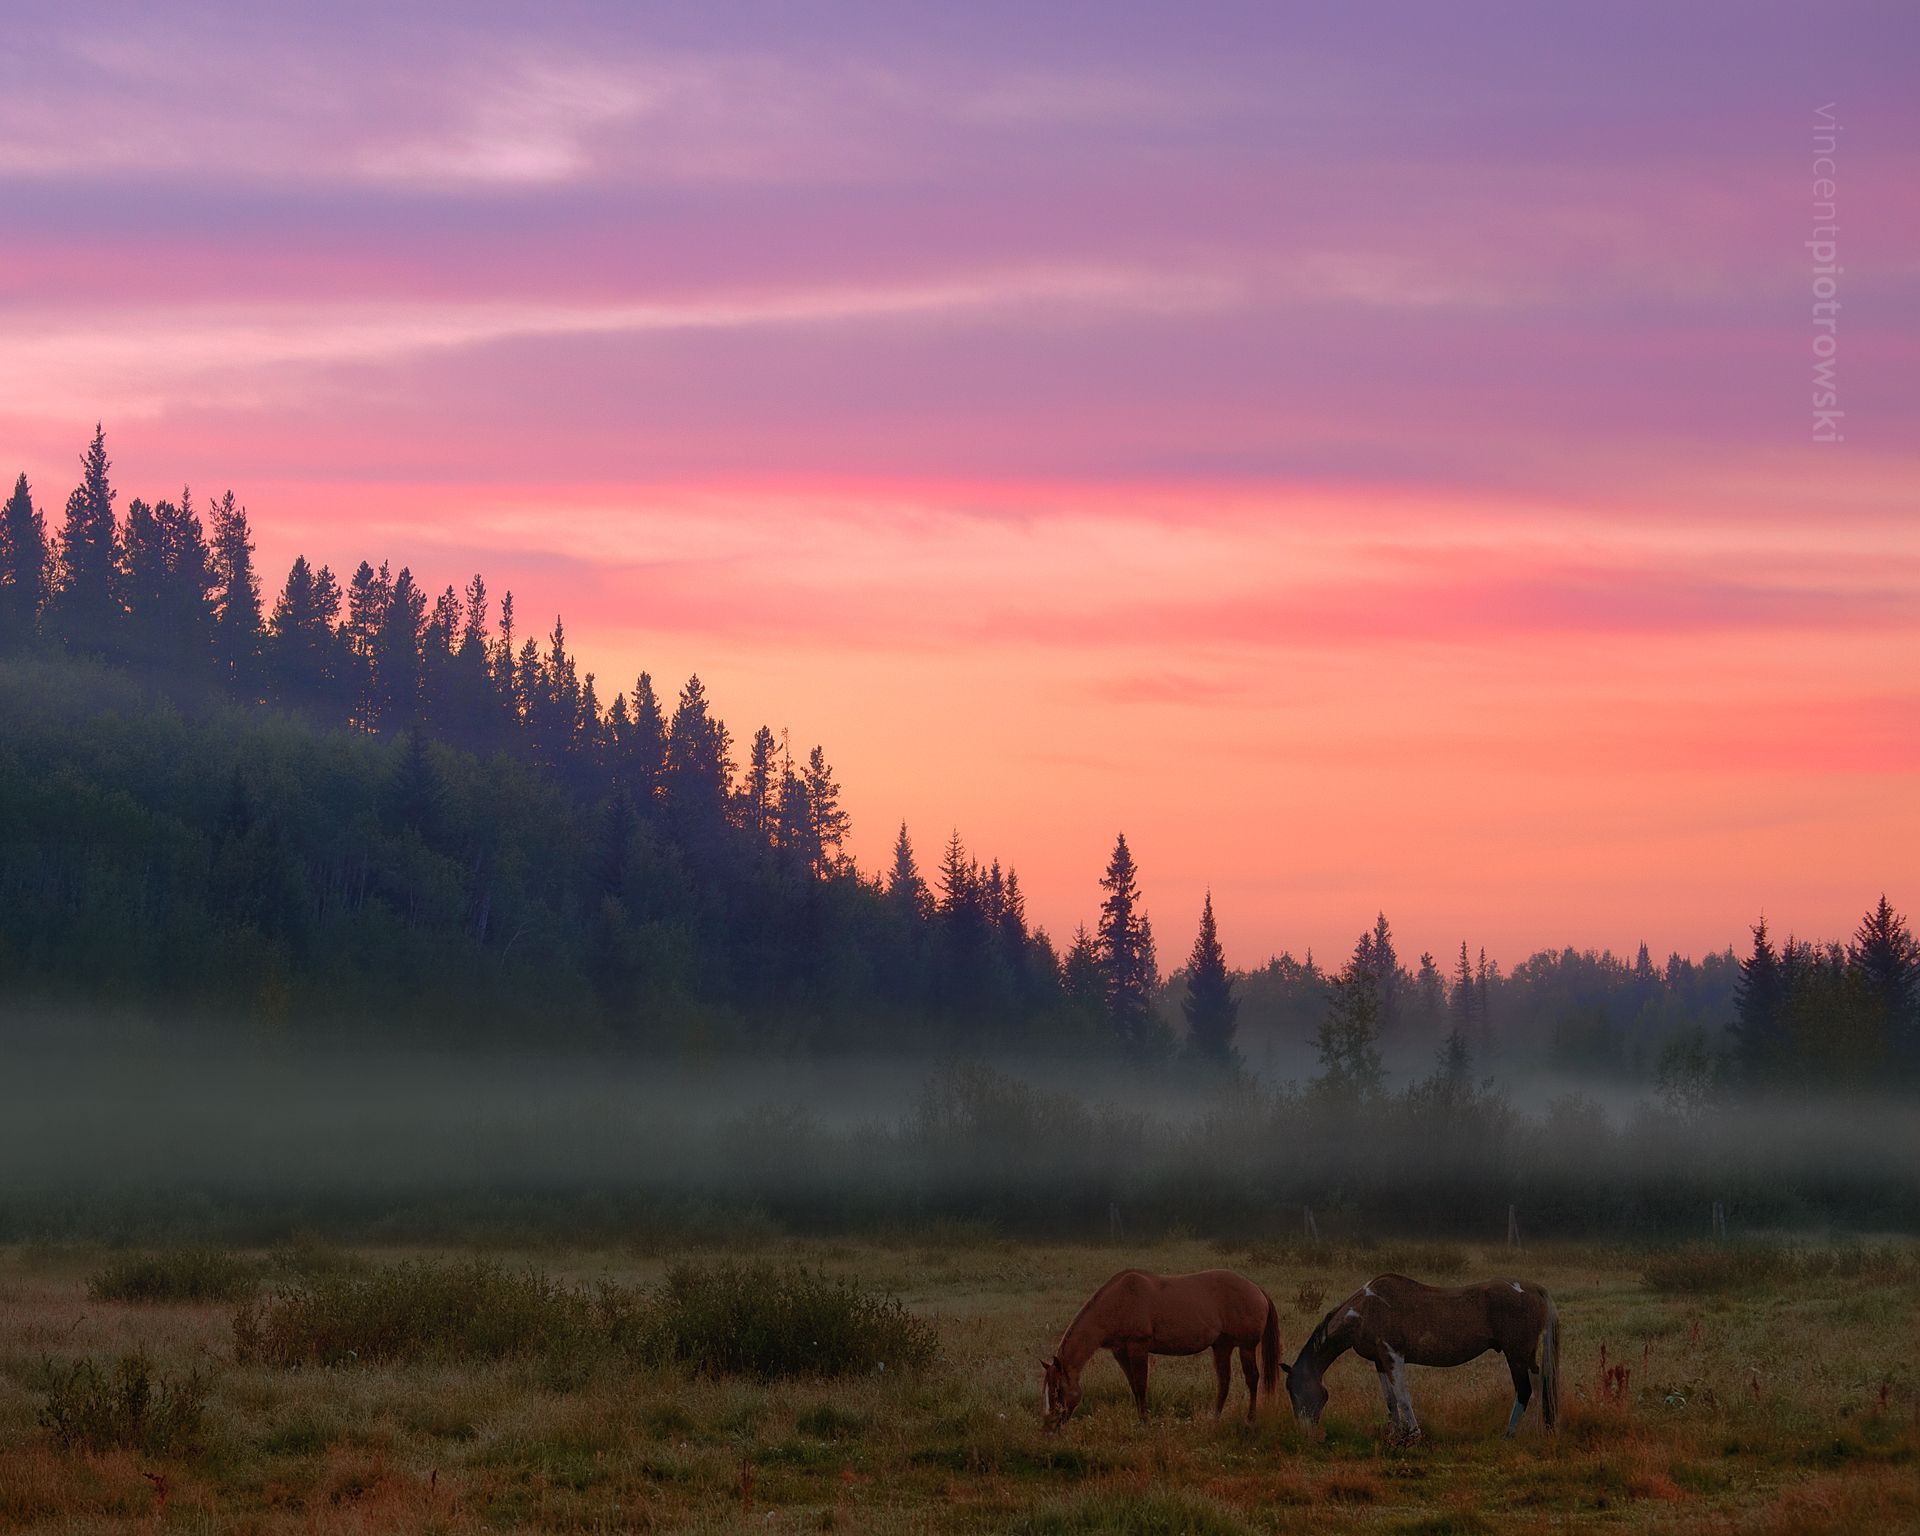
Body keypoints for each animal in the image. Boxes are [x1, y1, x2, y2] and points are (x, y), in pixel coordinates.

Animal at [1041, 1269, 1281, 1430]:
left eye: (1058, 1390)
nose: (1051, 1425)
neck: (1117, 1302)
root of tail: (1257, 1290)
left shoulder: (1138, 1348)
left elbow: (1141, 1385)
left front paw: (1144, 1422)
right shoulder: (1120, 1352)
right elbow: (1133, 1386)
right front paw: (1141, 1419)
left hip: (1246, 1347)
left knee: (1252, 1378)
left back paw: (1250, 1418)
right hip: (1222, 1347)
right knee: (1224, 1381)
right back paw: (1215, 1418)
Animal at [1282, 1273, 1559, 1444]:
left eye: (1295, 1391)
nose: (1305, 1433)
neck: (1364, 1310)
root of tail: (1533, 1288)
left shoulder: (1393, 1355)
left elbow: (1403, 1397)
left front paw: (1414, 1434)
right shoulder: (1379, 1361)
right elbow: (1391, 1400)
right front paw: (1395, 1434)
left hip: (1516, 1354)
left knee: (1525, 1390)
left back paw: (1510, 1435)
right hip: (1526, 1356)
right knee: (1538, 1386)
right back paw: (1534, 1431)